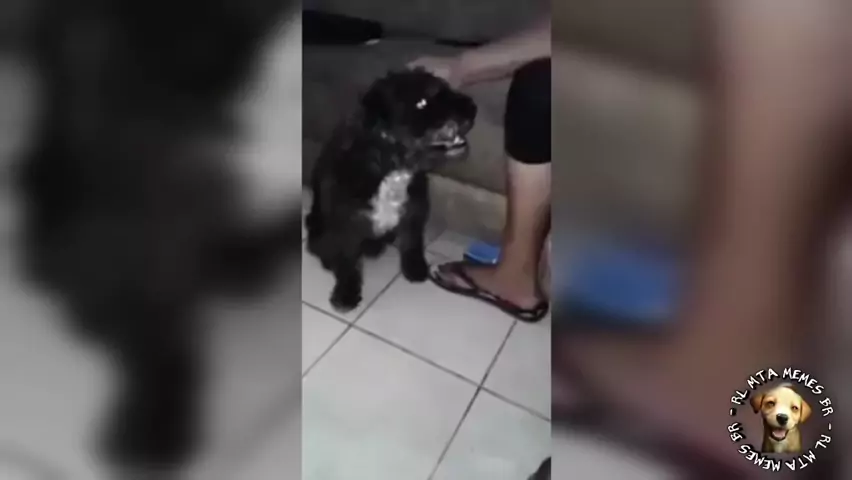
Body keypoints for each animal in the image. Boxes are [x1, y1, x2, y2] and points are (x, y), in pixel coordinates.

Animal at [306, 68, 477, 311]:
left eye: (446, 88)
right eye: (422, 102)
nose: (473, 108)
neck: (390, 165)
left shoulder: (415, 209)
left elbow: (412, 241)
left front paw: (414, 267)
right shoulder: (346, 223)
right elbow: (348, 261)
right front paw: (346, 292)